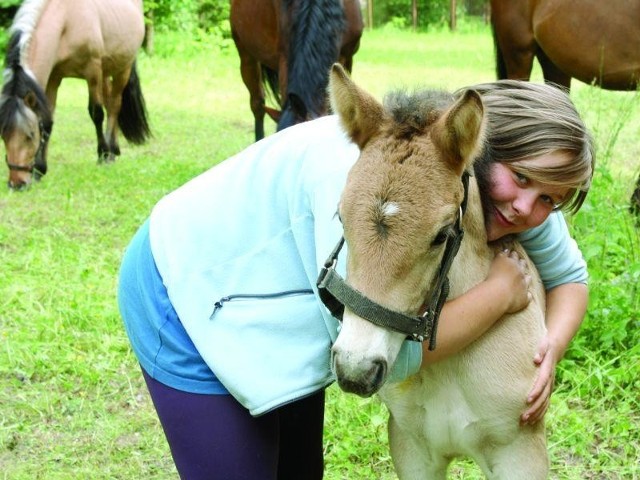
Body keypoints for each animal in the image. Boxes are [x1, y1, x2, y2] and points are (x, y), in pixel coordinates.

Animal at [0, 0, 151, 190]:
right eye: (3, 136)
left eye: (30, 135)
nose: (16, 183)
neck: (66, 20)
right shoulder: (54, 77)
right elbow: (47, 122)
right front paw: (40, 170)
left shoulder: (92, 71)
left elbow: (96, 113)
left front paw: (103, 154)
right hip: (106, 72)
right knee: (110, 103)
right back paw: (114, 149)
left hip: (122, 68)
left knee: (115, 105)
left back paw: (111, 151)